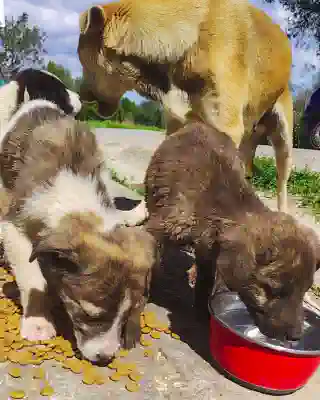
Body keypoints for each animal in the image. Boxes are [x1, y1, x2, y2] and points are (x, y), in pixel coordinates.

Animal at [0, 99, 158, 362]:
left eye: (123, 316)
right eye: (89, 314)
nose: (105, 359)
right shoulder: (13, 224)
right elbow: (32, 277)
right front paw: (38, 321)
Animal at [77, 0, 292, 219]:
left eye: (82, 61)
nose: (80, 94)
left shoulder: (226, 127)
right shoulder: (176, 124)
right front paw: (142, 211)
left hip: (283, 138)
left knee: (281, 180)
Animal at [145, 122, 320, 340]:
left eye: (305, 291)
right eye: (273, 290)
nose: (296, 336)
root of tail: (198, 124)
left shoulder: (209, 251)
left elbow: (206, 282)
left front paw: (202, 313)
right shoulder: (161, 227)